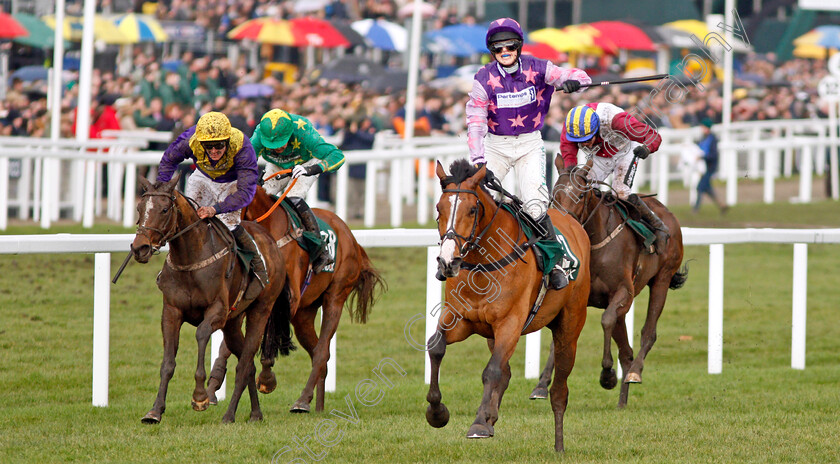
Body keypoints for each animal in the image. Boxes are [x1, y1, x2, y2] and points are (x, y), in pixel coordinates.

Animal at [131, 174, 288, 424]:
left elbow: (201, 334)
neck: (190, 259)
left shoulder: (217, 311)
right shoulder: (171, 312)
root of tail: (271, 241)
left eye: (165, 209)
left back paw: (229, 415)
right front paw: (155, 411)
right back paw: (255, 413)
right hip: (233, 323)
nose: (140, 248)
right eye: (140, 207)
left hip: (261, 310)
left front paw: (200, 397)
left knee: (244, 363)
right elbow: (167, 363)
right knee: (248, 364)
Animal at [207, 185, 384, 414]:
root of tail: (350, 237)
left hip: (335, 296)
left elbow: (266, 336)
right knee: (320, 353)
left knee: (322, 351)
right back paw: (317, 404)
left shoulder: (284, 299)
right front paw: (213, 386)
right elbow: (231, 342)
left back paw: (302, 400)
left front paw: (266, 378)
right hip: (304, 315)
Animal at [426, 160, 592, 454]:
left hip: (570, 325)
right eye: (438, 208)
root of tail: (573, 222)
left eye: (472, 209)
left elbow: (492, 370)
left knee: (560, 388)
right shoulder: (460, 319)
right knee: (506, 370)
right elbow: (436, 346)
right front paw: (437, 413)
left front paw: (478, 423)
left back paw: (559, 443)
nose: (447, 262)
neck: (482, 264)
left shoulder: (510, 323)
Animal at [532, 158, 688, 408]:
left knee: (648, 333)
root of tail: (667, 212)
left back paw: (634, 373)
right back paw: (622, 400)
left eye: (580, 195)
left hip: (662, 280)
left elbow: (605, 320)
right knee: (626, 350)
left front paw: (607, 375)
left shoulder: (623, 292)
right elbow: (560, 339)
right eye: (553, 194)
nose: (563, 223)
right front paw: (541, 384)